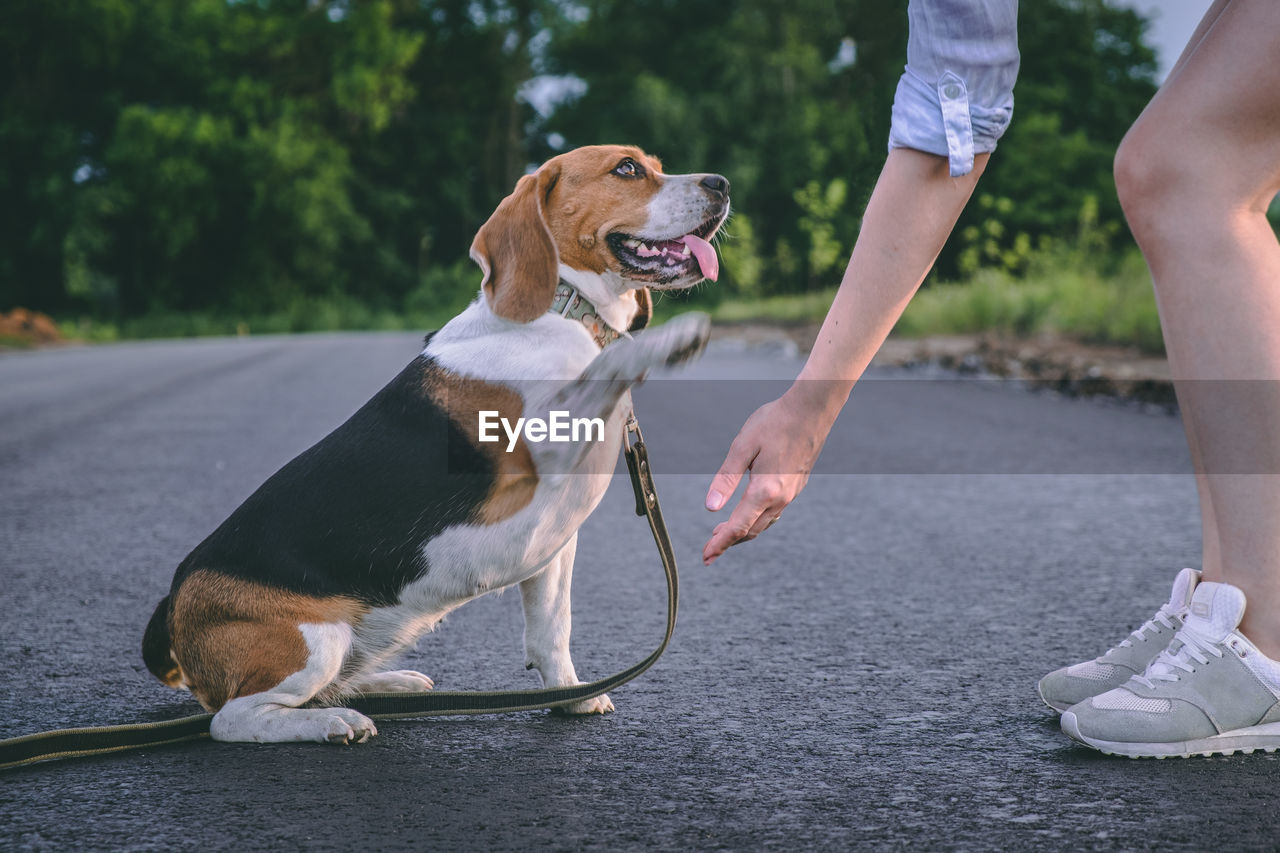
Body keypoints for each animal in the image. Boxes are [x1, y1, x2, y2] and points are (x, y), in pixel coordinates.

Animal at [141, 147, 732, 742]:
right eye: (627, 169)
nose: (722, 183)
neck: (560, 310)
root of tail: (174, 604)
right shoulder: (538, 452)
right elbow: (615, 360)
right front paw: (675, 337)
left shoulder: (555, 545)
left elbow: (551, 631)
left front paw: (573, 696)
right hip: (314, 641)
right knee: (236, 718)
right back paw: (332, 721)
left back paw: (389, 684)